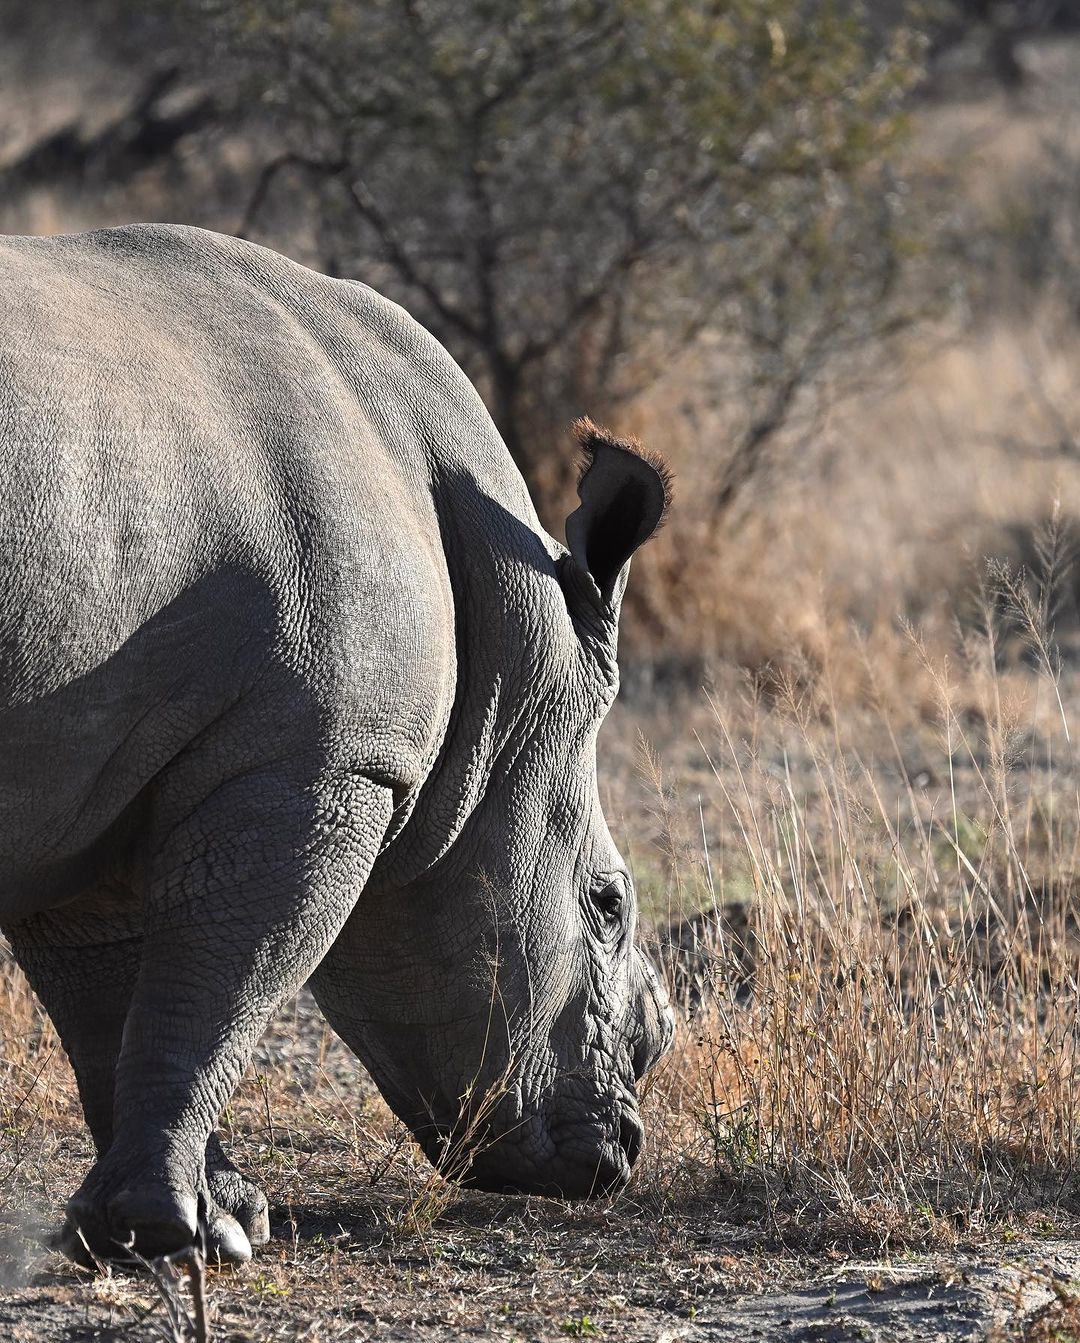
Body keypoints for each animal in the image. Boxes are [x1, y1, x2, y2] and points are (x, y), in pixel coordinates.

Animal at [0, 225, 671, 1262]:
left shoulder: (85, 777)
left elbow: (115, 1004)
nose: (621, 1154)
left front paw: (207, 1219)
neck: (513, 662)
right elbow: (223, 985)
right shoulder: (329, 760)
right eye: (607, 905)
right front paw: (182, 1234)